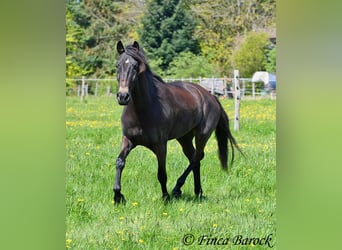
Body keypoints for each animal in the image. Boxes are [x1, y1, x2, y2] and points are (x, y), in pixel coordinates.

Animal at [113, 41, 240, 204]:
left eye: (135, 66)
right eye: (117, 65)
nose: (123, 96)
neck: (143, 110)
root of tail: (211, 97)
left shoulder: (161, 145)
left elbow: (161, 173)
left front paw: (165, 197)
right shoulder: (128, 140)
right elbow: (119, 162)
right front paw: (118, 196)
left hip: (202, 136)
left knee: (196, 157)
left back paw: (177, 189)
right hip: (184, 138)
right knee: (195, 158)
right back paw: (198, 192)